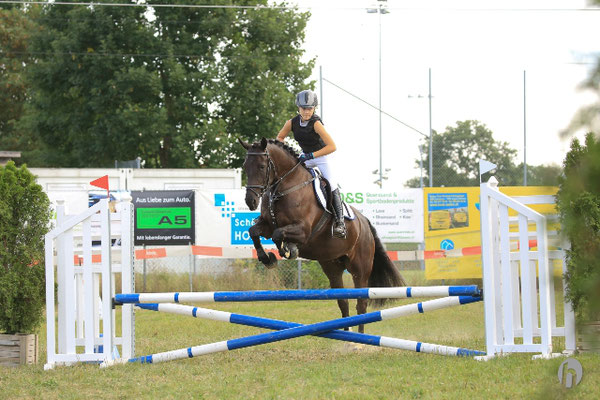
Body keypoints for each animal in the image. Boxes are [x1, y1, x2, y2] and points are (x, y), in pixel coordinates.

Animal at [240, 138, 408, 334]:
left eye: (261, 166)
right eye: (245, 166)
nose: (250, 201)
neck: (286, 187)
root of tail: (365, 222)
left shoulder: (303, 230)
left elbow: (278, 234)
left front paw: (288, 250)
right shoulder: (267, 225)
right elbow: (254, 232)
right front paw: (267, 259)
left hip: (360, 269)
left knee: (361, 304)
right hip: (332, 267)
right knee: (343, 301)